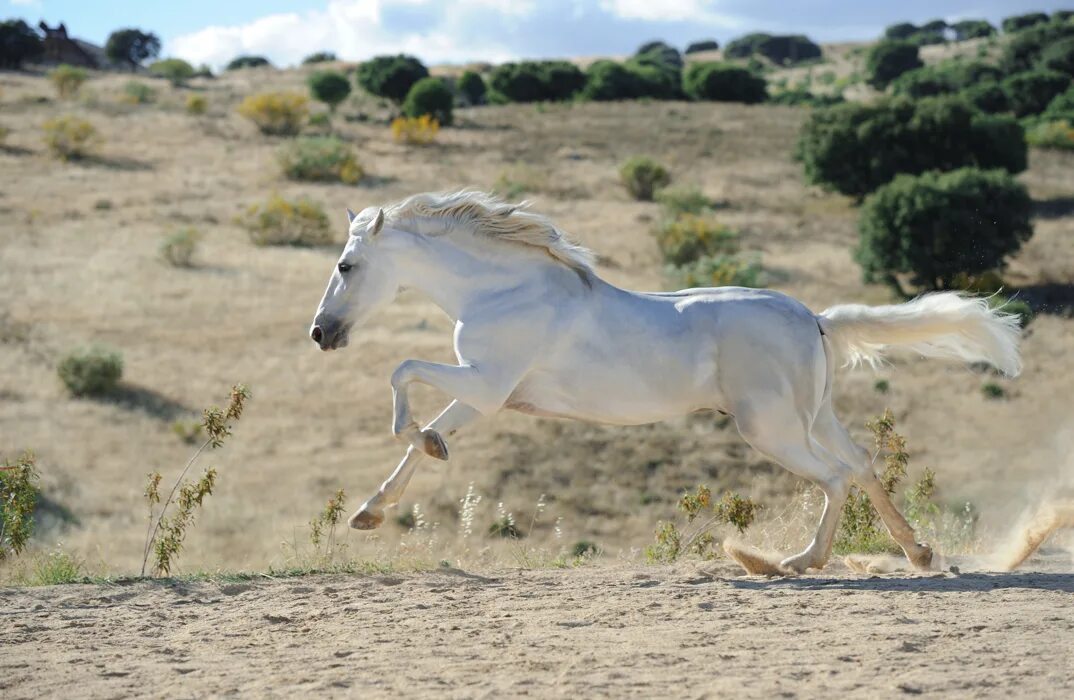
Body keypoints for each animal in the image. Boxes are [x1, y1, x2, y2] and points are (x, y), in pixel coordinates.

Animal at [307, 191, 1018, 575]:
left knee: (837, 478)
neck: (502, 290)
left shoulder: (486, 386)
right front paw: (373, 511)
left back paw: (798, 563)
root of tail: (813, 318)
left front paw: (414, 445)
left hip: (772, 430)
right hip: (812, 418)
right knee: (864, 466)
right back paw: (920, 554)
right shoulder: (485, 394)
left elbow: (403, 374)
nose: (320, 333)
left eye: (346, 265)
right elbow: (420, 437)